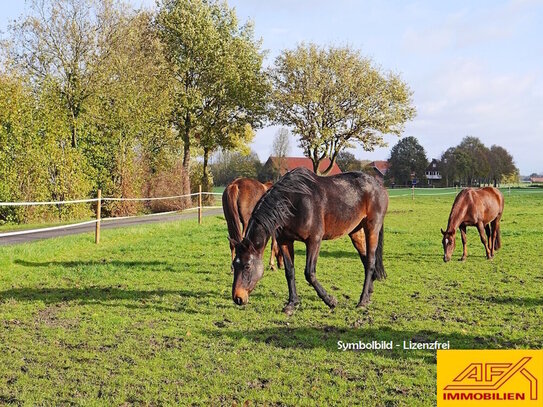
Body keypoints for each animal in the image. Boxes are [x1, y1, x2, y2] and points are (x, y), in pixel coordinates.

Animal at [230, 167, 386, 314]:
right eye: (234, 265)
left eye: (247, 266)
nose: (238, 298)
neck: (293, 201)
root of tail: (378, 185)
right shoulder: (285, 241)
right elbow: (289, 271)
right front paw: (292, 303)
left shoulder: (314, 241)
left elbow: (309, 273)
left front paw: (330, 301)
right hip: (356, 232)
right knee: (365, 260)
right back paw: (369, 295)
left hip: (372, 229)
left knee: (370, 262)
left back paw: (362, 301)